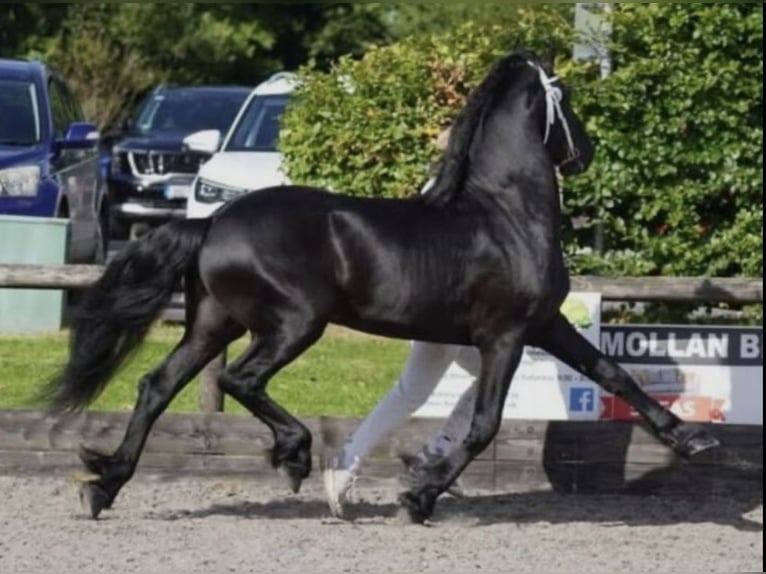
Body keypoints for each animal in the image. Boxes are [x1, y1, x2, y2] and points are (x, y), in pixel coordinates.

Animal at [44, 49, 719, 524]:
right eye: (566, 98)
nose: (583, 152)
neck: (505, 215)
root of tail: (210, 223)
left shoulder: (544, 324)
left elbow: (613, 373)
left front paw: (691, 440)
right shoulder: (506, 335)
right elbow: (485, 425)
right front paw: (419, 498)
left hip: (214, 322)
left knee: (157, 385)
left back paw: (104, 486)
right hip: (293, 323)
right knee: (240, 379)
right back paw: (294, 456)